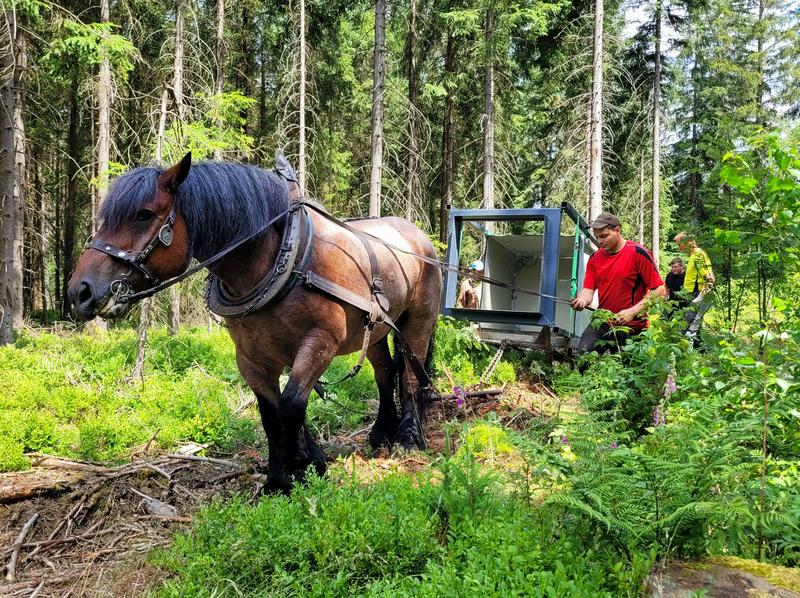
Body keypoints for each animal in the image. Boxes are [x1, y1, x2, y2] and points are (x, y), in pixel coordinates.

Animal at [67, 155, 444, 496]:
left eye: (143, 214)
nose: (79, 291)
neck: (285, 257)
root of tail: (419, 237)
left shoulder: (320, 342)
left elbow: (291, 404)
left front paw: (302, 464)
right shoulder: (251, 356)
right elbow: (270, 416)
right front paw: (279, 478)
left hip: (418, 322)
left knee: (410, 376)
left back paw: (408, 439)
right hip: (377, 329)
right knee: (385, 373)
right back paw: (381, 433)